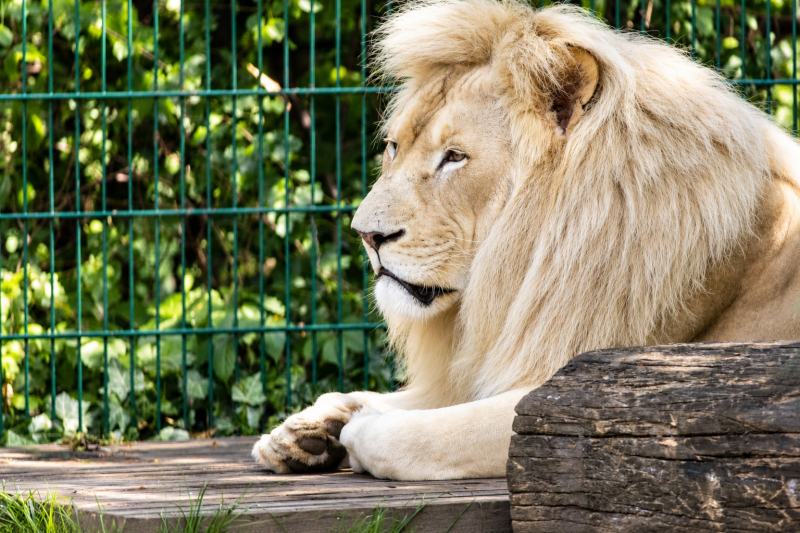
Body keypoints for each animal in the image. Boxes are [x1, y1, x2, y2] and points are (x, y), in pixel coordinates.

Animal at [253, 0, 800, 480]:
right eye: (393, 147)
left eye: (454, 157)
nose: (366, 235)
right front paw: (306, 429)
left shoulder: (599, 394)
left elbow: (430, 429)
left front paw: (357, 430)